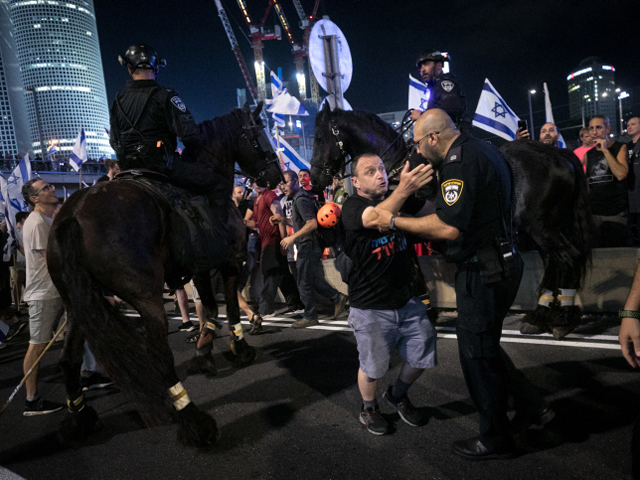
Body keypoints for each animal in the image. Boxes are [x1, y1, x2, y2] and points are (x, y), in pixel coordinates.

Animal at [47, 104, 282, 446]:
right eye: (258, 133)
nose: (276, 176)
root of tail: (72, 215)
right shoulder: (229, 263)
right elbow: (230, 309)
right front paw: (239, 349)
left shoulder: (199, 268)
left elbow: (210, 310)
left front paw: (204, 352)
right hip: (146, 297)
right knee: (158, 356)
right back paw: (194, 421)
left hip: (78, 302)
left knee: (68, 359)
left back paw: (81, 418)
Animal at [310, 106, 596, 338]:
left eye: (319, 138)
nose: (314, 179)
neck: (393, 168)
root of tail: (560, 154)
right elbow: (414, 271)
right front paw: (427, 309)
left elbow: (413, 272)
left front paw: (426, 311)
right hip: (544, 227)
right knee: (556, 262)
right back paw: (541, 315)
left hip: (542, 226)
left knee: (568, 257)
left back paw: (561, 318)